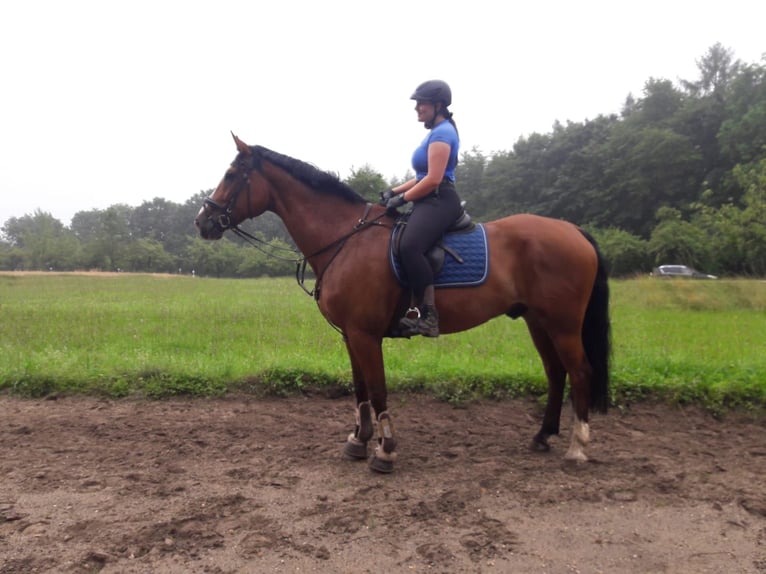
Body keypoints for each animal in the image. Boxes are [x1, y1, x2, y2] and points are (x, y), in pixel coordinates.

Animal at [195, 133, 611, 473]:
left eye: (231, 174)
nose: (202, 221)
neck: (347, 238)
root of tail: (573, 230)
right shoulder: (350, 335)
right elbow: (360, 389)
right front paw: (359, 441)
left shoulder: (365, 335)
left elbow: (378, 389)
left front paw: (386, 450)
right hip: (537, 320)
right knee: (556, 372)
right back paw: (542, 436)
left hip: (562, 323)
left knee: (580, 371)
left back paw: (577, 447)